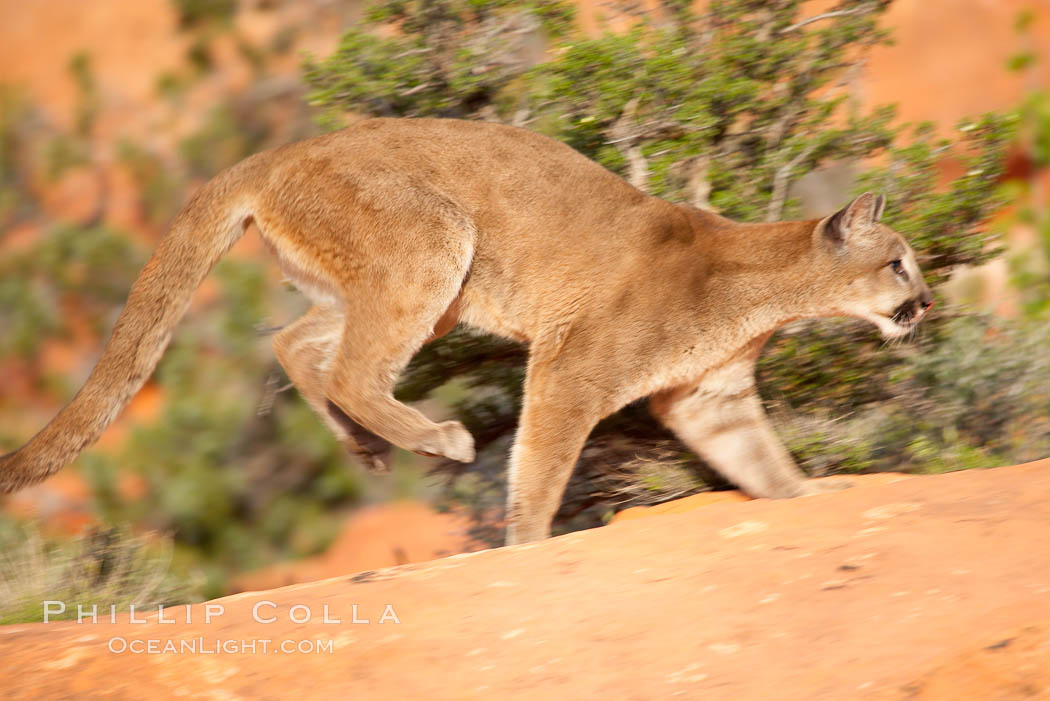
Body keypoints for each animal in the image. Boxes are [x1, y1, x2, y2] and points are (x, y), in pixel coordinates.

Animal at [2, 117, 936, 545]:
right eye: (899, 263)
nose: (928, 304)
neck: (759, 286)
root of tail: (282, 151)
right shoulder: (575, 367)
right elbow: (542, 465)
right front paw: (526, 546)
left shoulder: (712, 398)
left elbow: (765, 464)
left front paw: (808, 501)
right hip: (432, 243)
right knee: (350, 369)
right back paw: (439, 439)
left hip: (401, 285)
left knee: (299, 346)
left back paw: (368, 448)